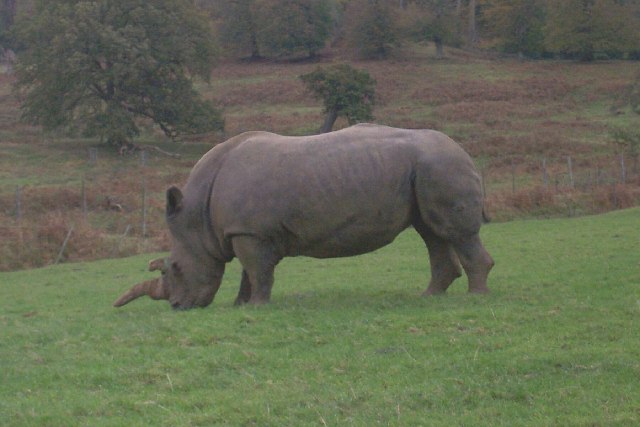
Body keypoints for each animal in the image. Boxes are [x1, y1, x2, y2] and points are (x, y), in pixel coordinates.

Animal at [114, 124, 494, 310]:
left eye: (175, 268)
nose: (178, 306)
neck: (197, 216)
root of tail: (465, 150)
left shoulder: (249, 232)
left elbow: (257, 271)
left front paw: (256, 307)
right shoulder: (246, 231)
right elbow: (249, 271)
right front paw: (240, 305)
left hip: (441, 165)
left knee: (454, 233)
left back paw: (475, 298)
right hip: (429, 168)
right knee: (432, 232)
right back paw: (429, 297)